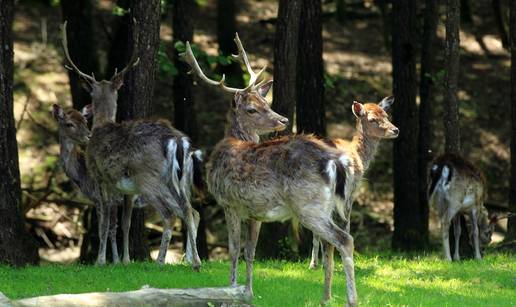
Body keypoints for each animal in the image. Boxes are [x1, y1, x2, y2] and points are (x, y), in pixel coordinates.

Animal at [61, 21, 204, 270]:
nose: (86, 137)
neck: (101, 125)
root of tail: (177, 140)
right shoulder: (126, 191)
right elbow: (125, 223)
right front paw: (124, 261)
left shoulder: (101, 179)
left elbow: (105, 224)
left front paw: (100, 261)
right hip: (176, 180)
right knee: (188, 210)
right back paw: (194, 262)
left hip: (148, 177)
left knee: (170, 214)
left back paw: (161, 261)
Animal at [308, 95, 398, 270]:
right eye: (372, 119)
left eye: (386, 115)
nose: (395, 130)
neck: (359, 155)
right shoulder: (351, 191)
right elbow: (346, 223)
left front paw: (317, 263)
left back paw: (316, 263)